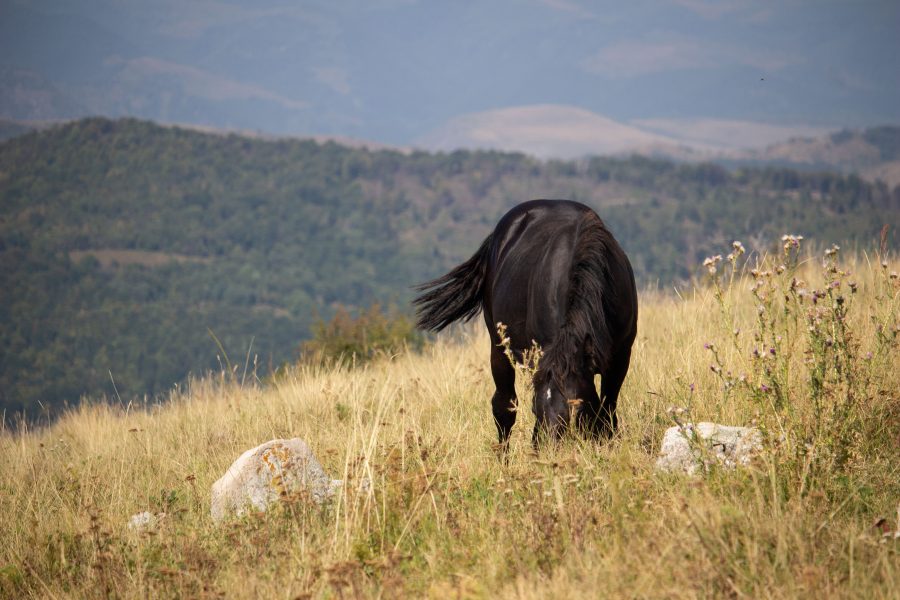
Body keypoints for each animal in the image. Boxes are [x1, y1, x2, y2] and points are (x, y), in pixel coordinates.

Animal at [416, 199, 640, 448]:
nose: (549, 450)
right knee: (504, 407)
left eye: (575, 409)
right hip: (499, 348)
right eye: (535, 409)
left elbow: (607, 409)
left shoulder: (620, 358)